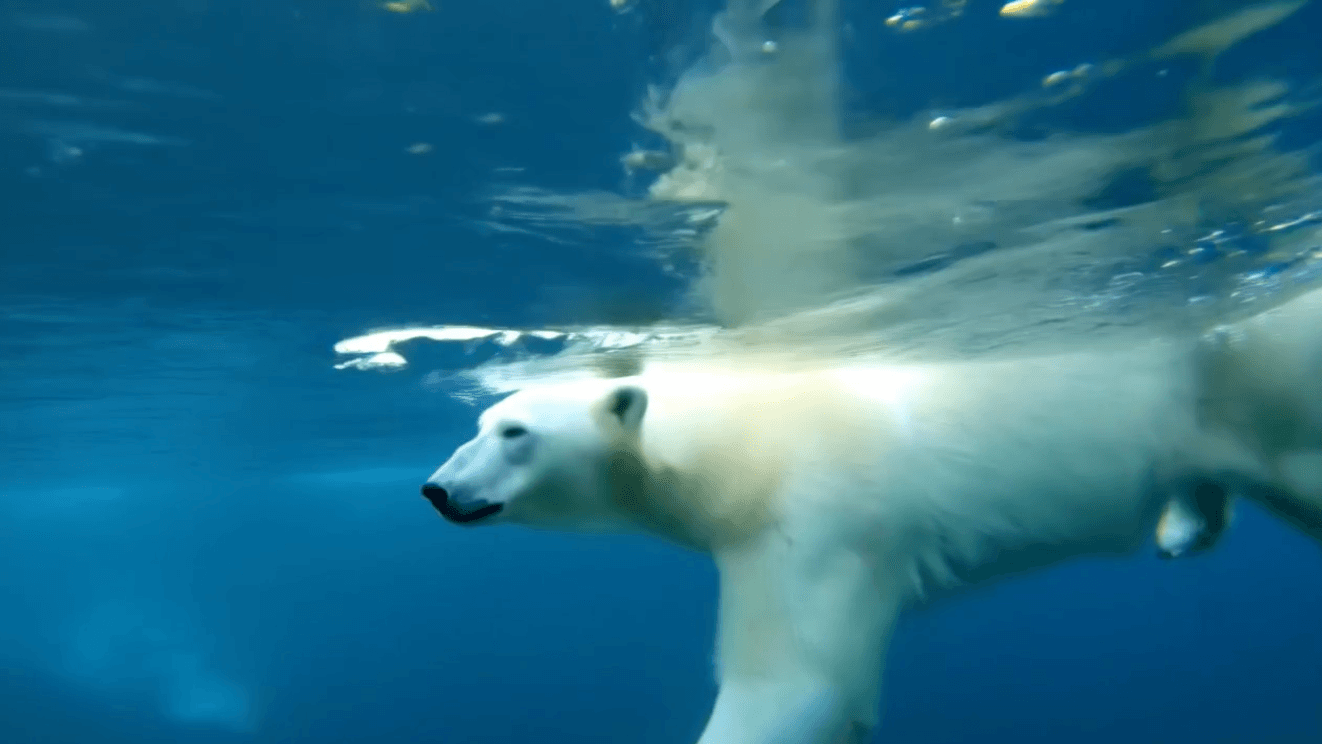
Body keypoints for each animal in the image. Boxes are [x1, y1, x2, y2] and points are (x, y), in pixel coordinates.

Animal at [420, 286, 1322, 744]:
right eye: (479, 421)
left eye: (515, 432)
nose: (435, 489)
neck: (744, 439)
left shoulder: (813, 519)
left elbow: (795, 681)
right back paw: (1182, 526)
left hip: (1248, 389)